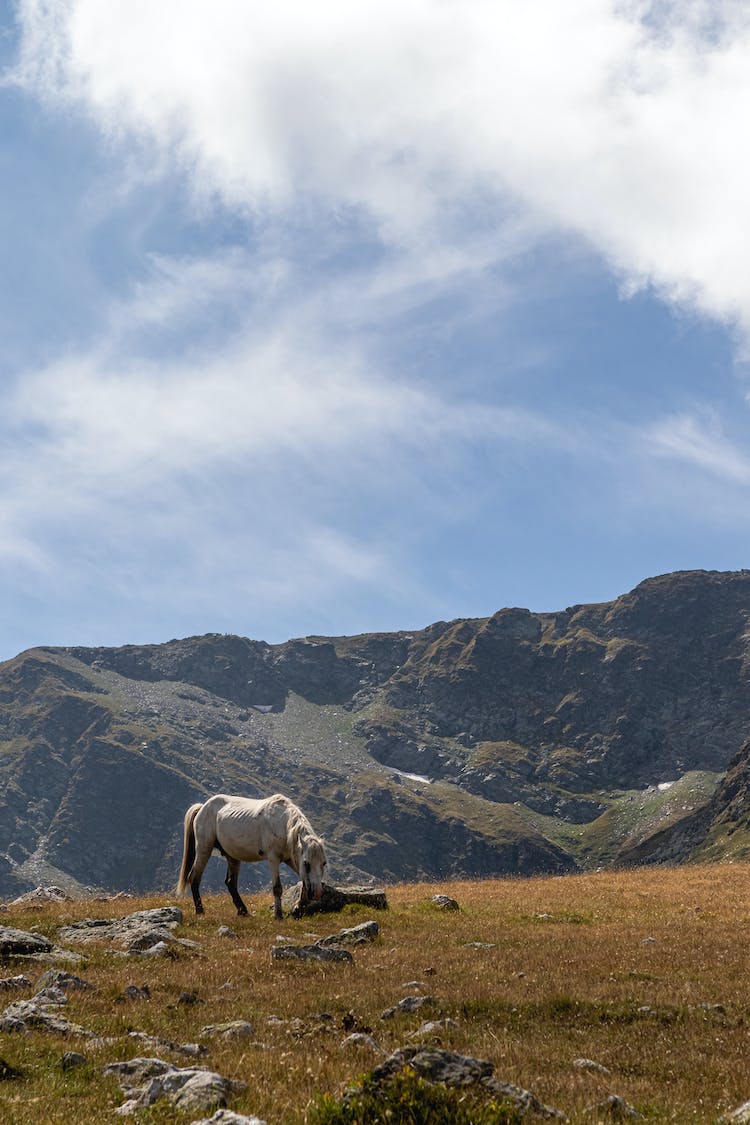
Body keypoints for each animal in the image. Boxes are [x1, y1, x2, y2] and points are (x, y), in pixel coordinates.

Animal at [177, 796, 330, 918]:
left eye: (323, 863)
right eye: (307, 863)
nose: (318, 893)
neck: (282, 823)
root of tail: (202, 808)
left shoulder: (291, 859)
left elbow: (303, 882)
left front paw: (298, 908)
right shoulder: (273, 859)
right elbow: (277, 888)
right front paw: (278, 915)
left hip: (232, 856)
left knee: (230, 883)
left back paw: (242, 911)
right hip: (204, 849)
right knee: (194, 877)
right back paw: (200, 910)